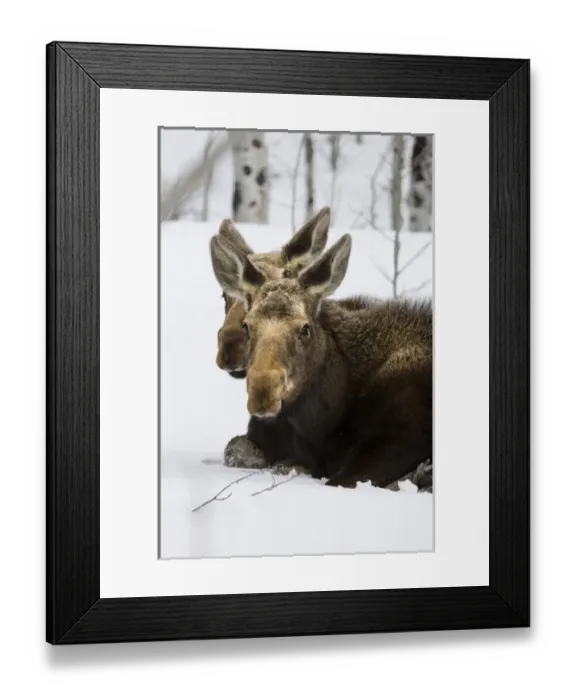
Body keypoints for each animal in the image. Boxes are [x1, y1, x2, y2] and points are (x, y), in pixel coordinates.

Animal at [209, 228, 433, 490]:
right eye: (247, 326)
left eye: (304, 328)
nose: (263, 390)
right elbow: (236, 449)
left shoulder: (403, 434)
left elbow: (336, 480)